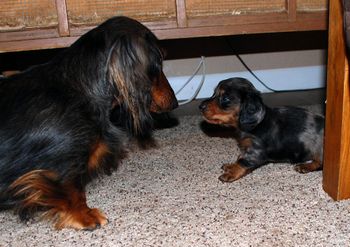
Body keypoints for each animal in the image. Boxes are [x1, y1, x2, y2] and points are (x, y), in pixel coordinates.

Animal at [0, 16, 178, 230]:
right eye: (159, 61)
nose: (175, 103)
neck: (80, 88)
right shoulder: (63, 160)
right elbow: (72, 188)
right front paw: (84, 214)